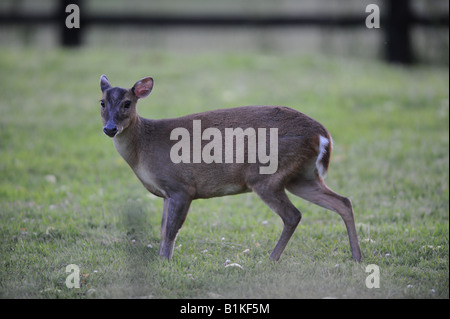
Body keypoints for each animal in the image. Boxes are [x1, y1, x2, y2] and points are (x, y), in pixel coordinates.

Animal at [98, 75, 362, 262]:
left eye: (127, 103)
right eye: (101, 102)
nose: (109, 128)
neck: (145, 147)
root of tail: (323, 135)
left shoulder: (182, 187)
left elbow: (171, 230)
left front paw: (164, 261)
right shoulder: (166, 194)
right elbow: (163, 228)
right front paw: (161, 259)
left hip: (266, 175)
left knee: (293, 215)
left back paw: (271, 259)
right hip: (301, 177)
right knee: (343, 201)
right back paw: (357, 256)